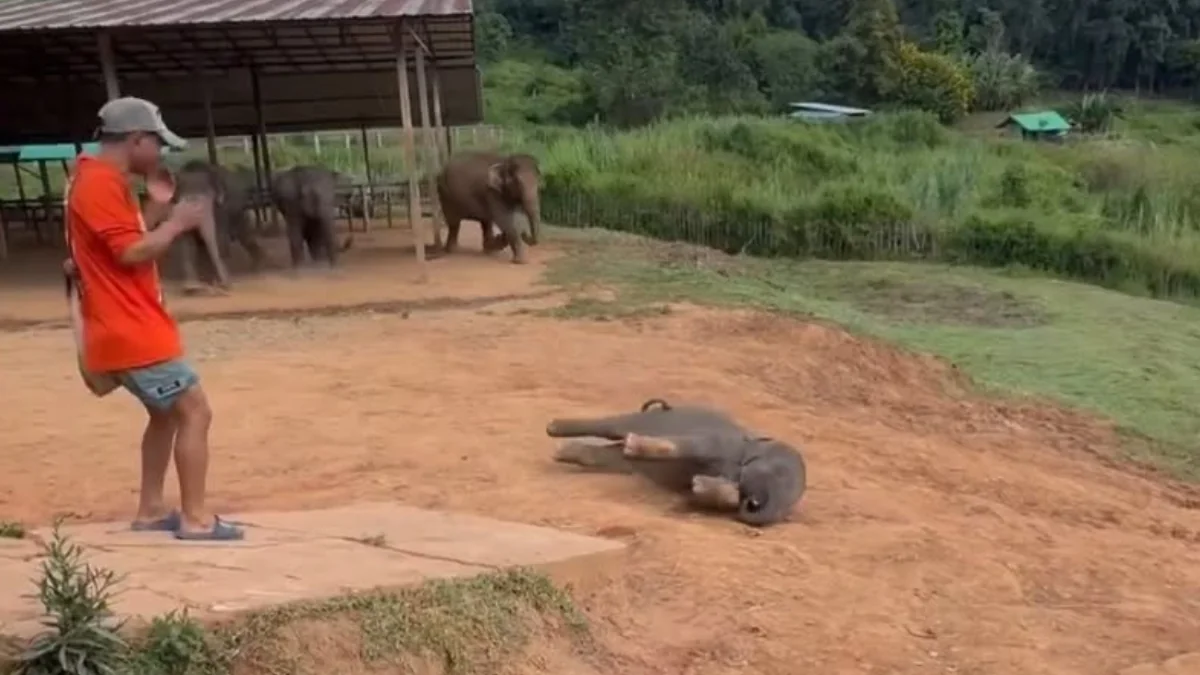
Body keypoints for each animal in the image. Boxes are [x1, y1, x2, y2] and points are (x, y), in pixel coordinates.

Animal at [546, 398, 807, 527]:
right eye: (777, 472)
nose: (751, 503)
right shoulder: (719, 441)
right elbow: (695, 446)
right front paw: (634, 444)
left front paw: (698, 485)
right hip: (647, 420)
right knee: (612, 427)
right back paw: (554, 429)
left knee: (610, 459)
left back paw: (564, 451)